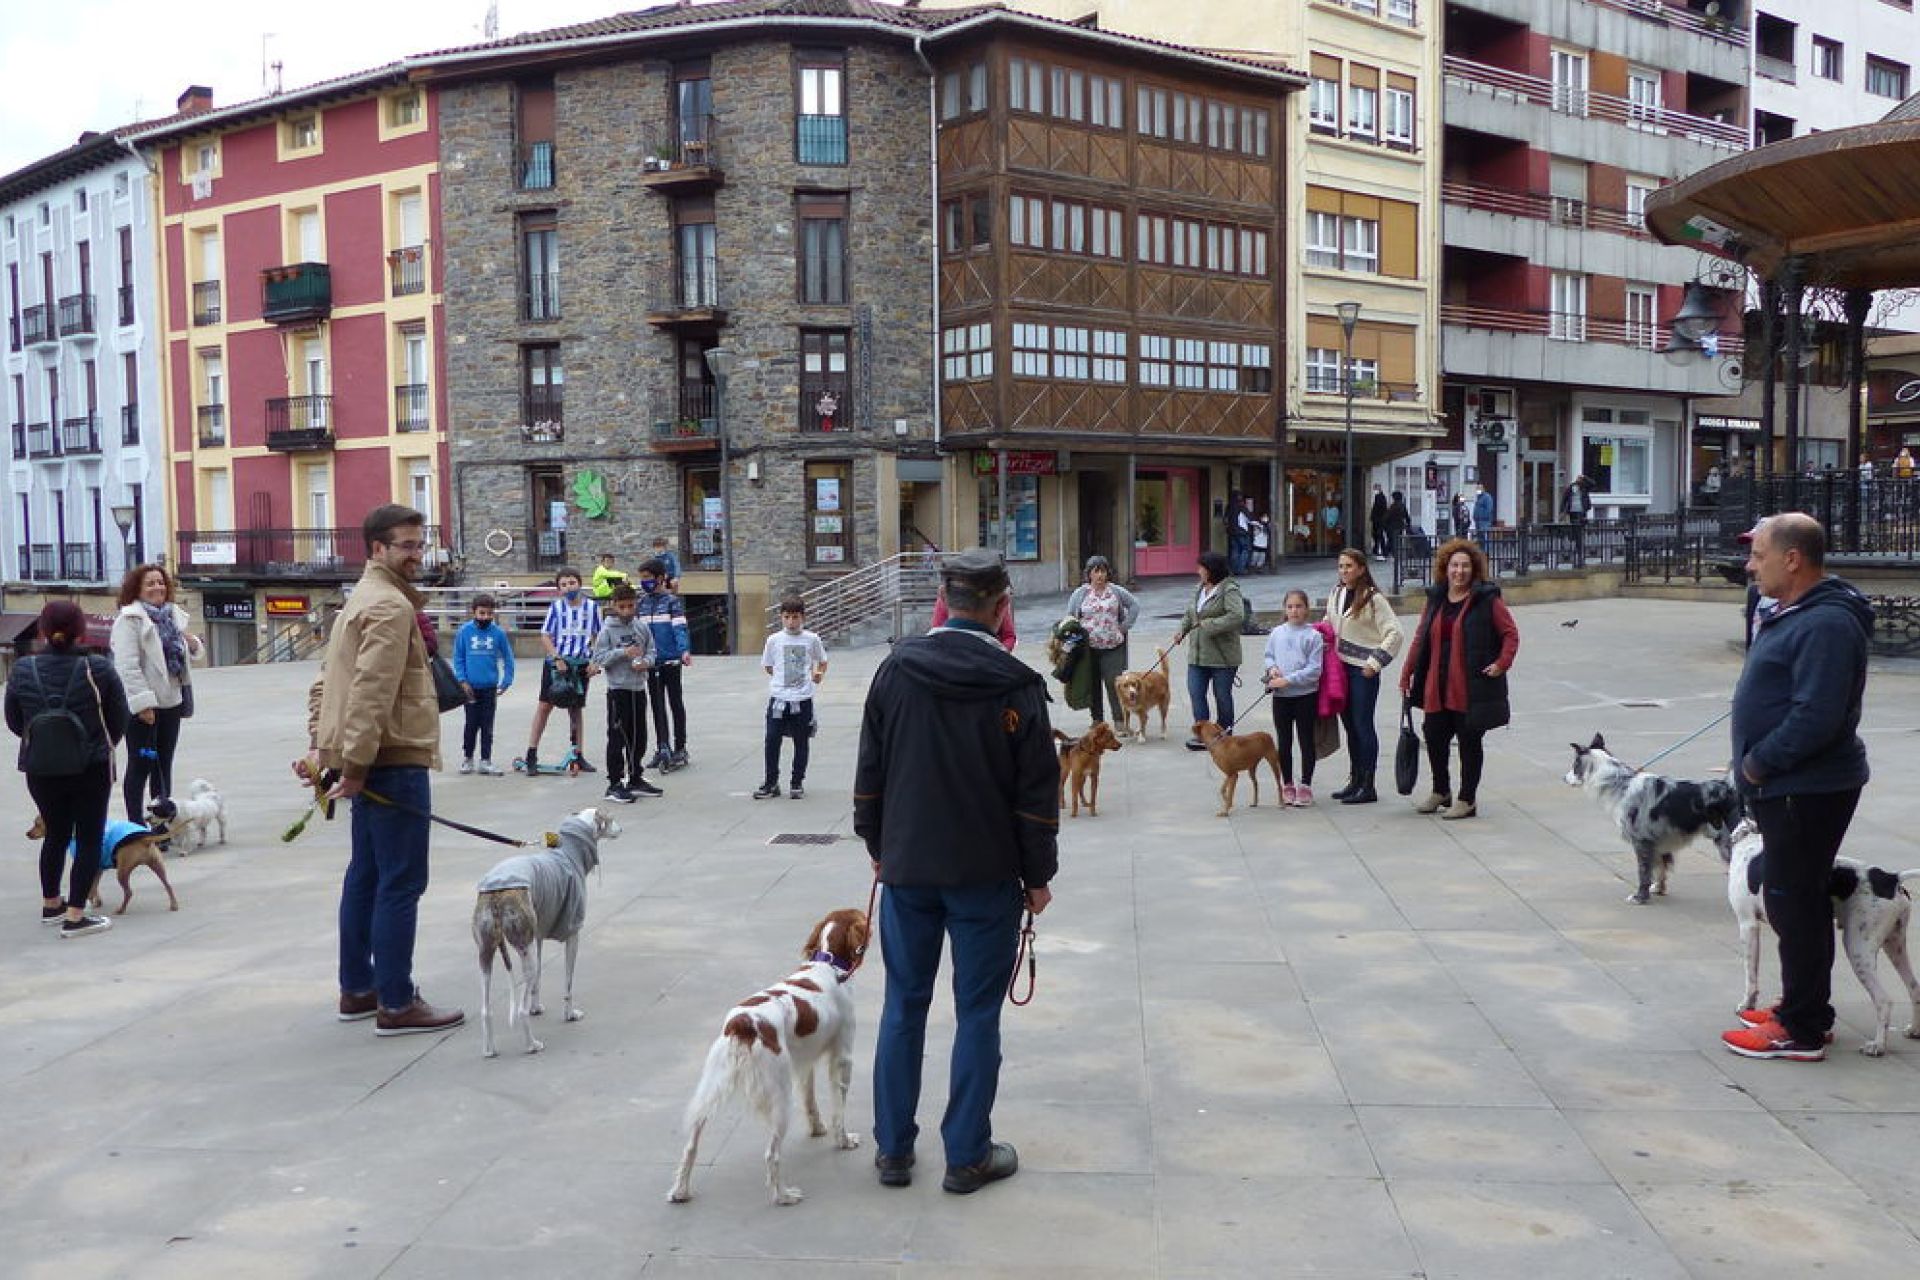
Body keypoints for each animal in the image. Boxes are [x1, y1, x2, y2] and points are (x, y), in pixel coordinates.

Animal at [26, 817, 178, 917]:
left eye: (37, 824)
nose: (27, 833)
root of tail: (144, 839)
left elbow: (90, 887)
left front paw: (90, 901)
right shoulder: (98, 868)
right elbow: (94, 886)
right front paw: (96, 901)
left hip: (122, 872)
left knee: (128, 892)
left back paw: (121, 910)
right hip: (157, 866)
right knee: (168, 885)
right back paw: (174, 905)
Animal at [664, 905, 867, 1205]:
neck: (829, 963)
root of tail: (742, 1024)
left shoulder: (805, 1063)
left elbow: (811, 1100)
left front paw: (817, 1128)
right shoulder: (842, 1057)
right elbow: (839, 1109)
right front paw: (843, 1140)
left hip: (712, 1086)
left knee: (691, 1145)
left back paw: (680, 1190)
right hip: (779, 1096)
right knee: (771, 1154)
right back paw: (783, 1195)